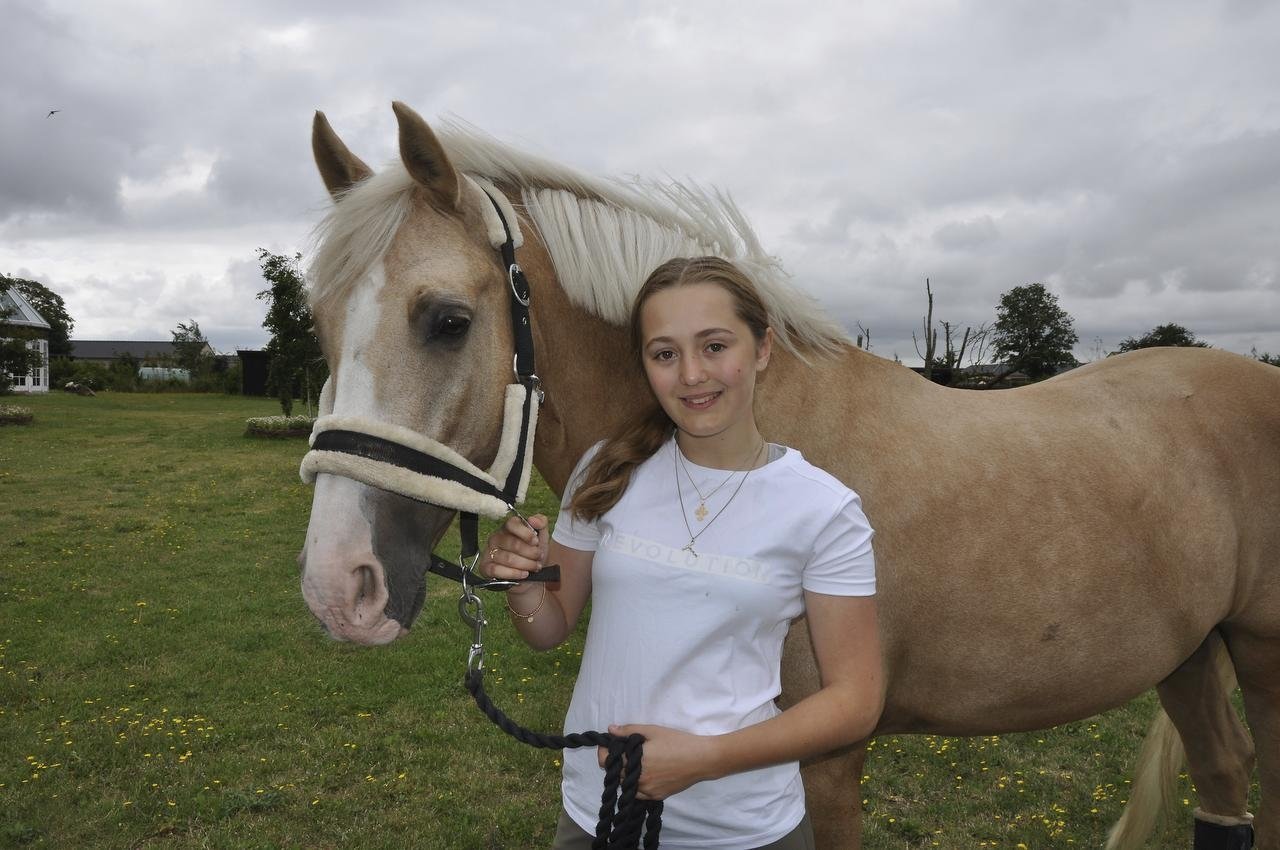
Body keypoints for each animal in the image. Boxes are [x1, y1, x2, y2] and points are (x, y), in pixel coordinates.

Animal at [297, 101, 1280, 849]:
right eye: (324, 325)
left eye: (448, 319)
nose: (338, 586)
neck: (758, 435)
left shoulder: (827, 760)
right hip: (1189, 652)